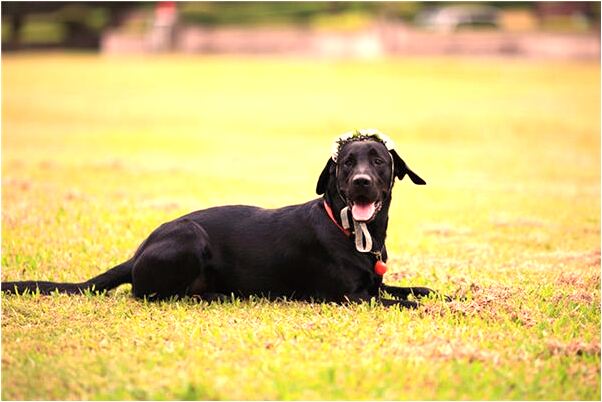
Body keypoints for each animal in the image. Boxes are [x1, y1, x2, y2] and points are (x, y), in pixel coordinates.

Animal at [2, 130, 438, 308]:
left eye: (378, 161)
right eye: (346, 163)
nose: (362, 182)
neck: (349, 230)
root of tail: (137, 253)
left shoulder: (374, 285)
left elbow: (416, 291)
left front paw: (444, 296)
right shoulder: (351, 297)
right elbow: (406, 304)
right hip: (189, 238)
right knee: (149, 294)